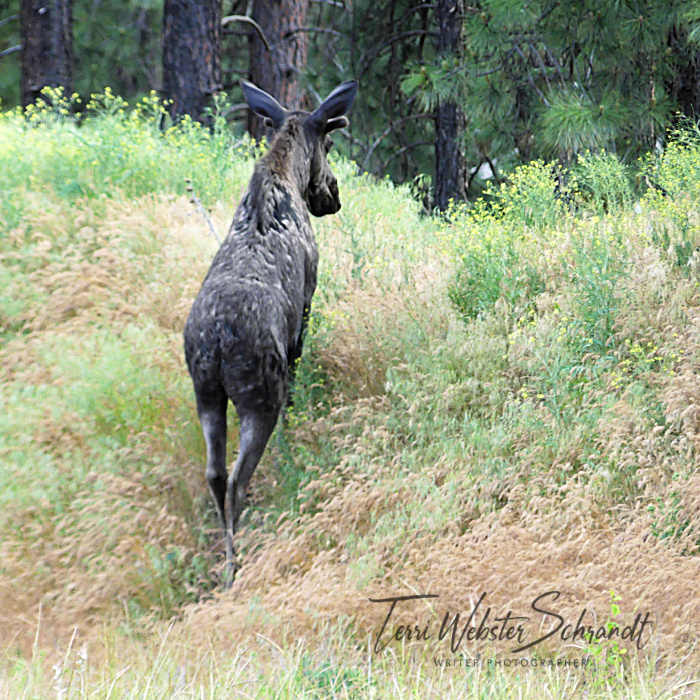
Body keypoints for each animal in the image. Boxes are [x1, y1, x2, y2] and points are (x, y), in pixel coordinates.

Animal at [183, 78, 358, 584]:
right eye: (330, 144)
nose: (334, 194)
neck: (286, 178)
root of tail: (218, 342)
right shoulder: (307, 302)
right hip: (258, 393)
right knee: (238, 479)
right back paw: (234, 563)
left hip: (206, 393)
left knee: (214, 474)